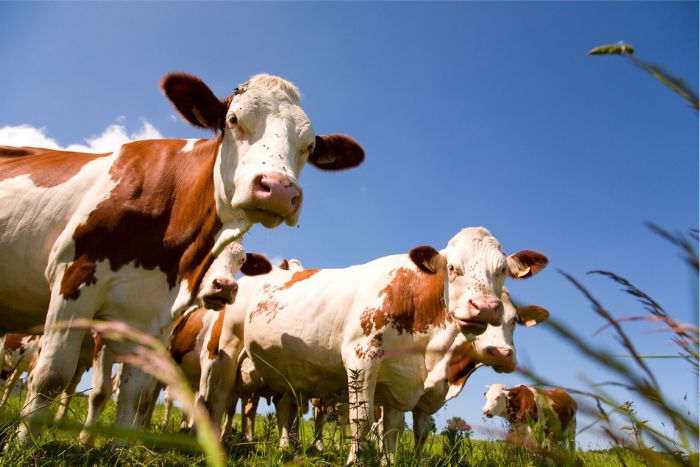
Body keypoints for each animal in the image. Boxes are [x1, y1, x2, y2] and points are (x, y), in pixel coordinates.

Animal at [0, 70, 364, 443]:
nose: (278, 189)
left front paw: (115, 448)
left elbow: (134, 395)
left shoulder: (155, 321)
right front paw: (29, 445)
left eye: (309, 146)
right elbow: (53, 377)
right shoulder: (75, 278)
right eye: (233, 120)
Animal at [205, 226, 547, 463]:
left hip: (288, 375)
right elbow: (362, 421)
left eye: (502, 271)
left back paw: (286, 450)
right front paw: (355, 461)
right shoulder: (361, 359)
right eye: (452, 268)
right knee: (221, 399)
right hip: (227, 350)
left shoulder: (399, 382)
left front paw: (388, 462)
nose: (486, 308)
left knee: (284, 409)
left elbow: (394, 430)